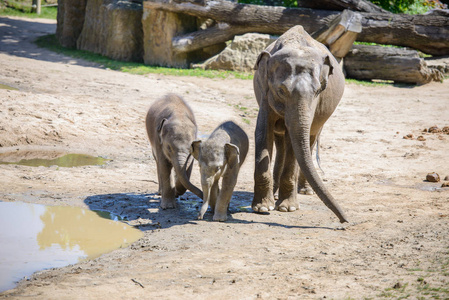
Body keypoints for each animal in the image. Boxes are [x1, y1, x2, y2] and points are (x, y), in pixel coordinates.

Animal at [252, 25, 346, 223]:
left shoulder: (314, 104)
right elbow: (263, 133)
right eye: (281, 90)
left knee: (309, 139)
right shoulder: (265, 92)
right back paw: (275, 194)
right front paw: (262, 208)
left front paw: (287, 208)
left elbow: (293, 141)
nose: (344, 221)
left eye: (318, 90)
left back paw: (304, 191)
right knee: (280, 142)